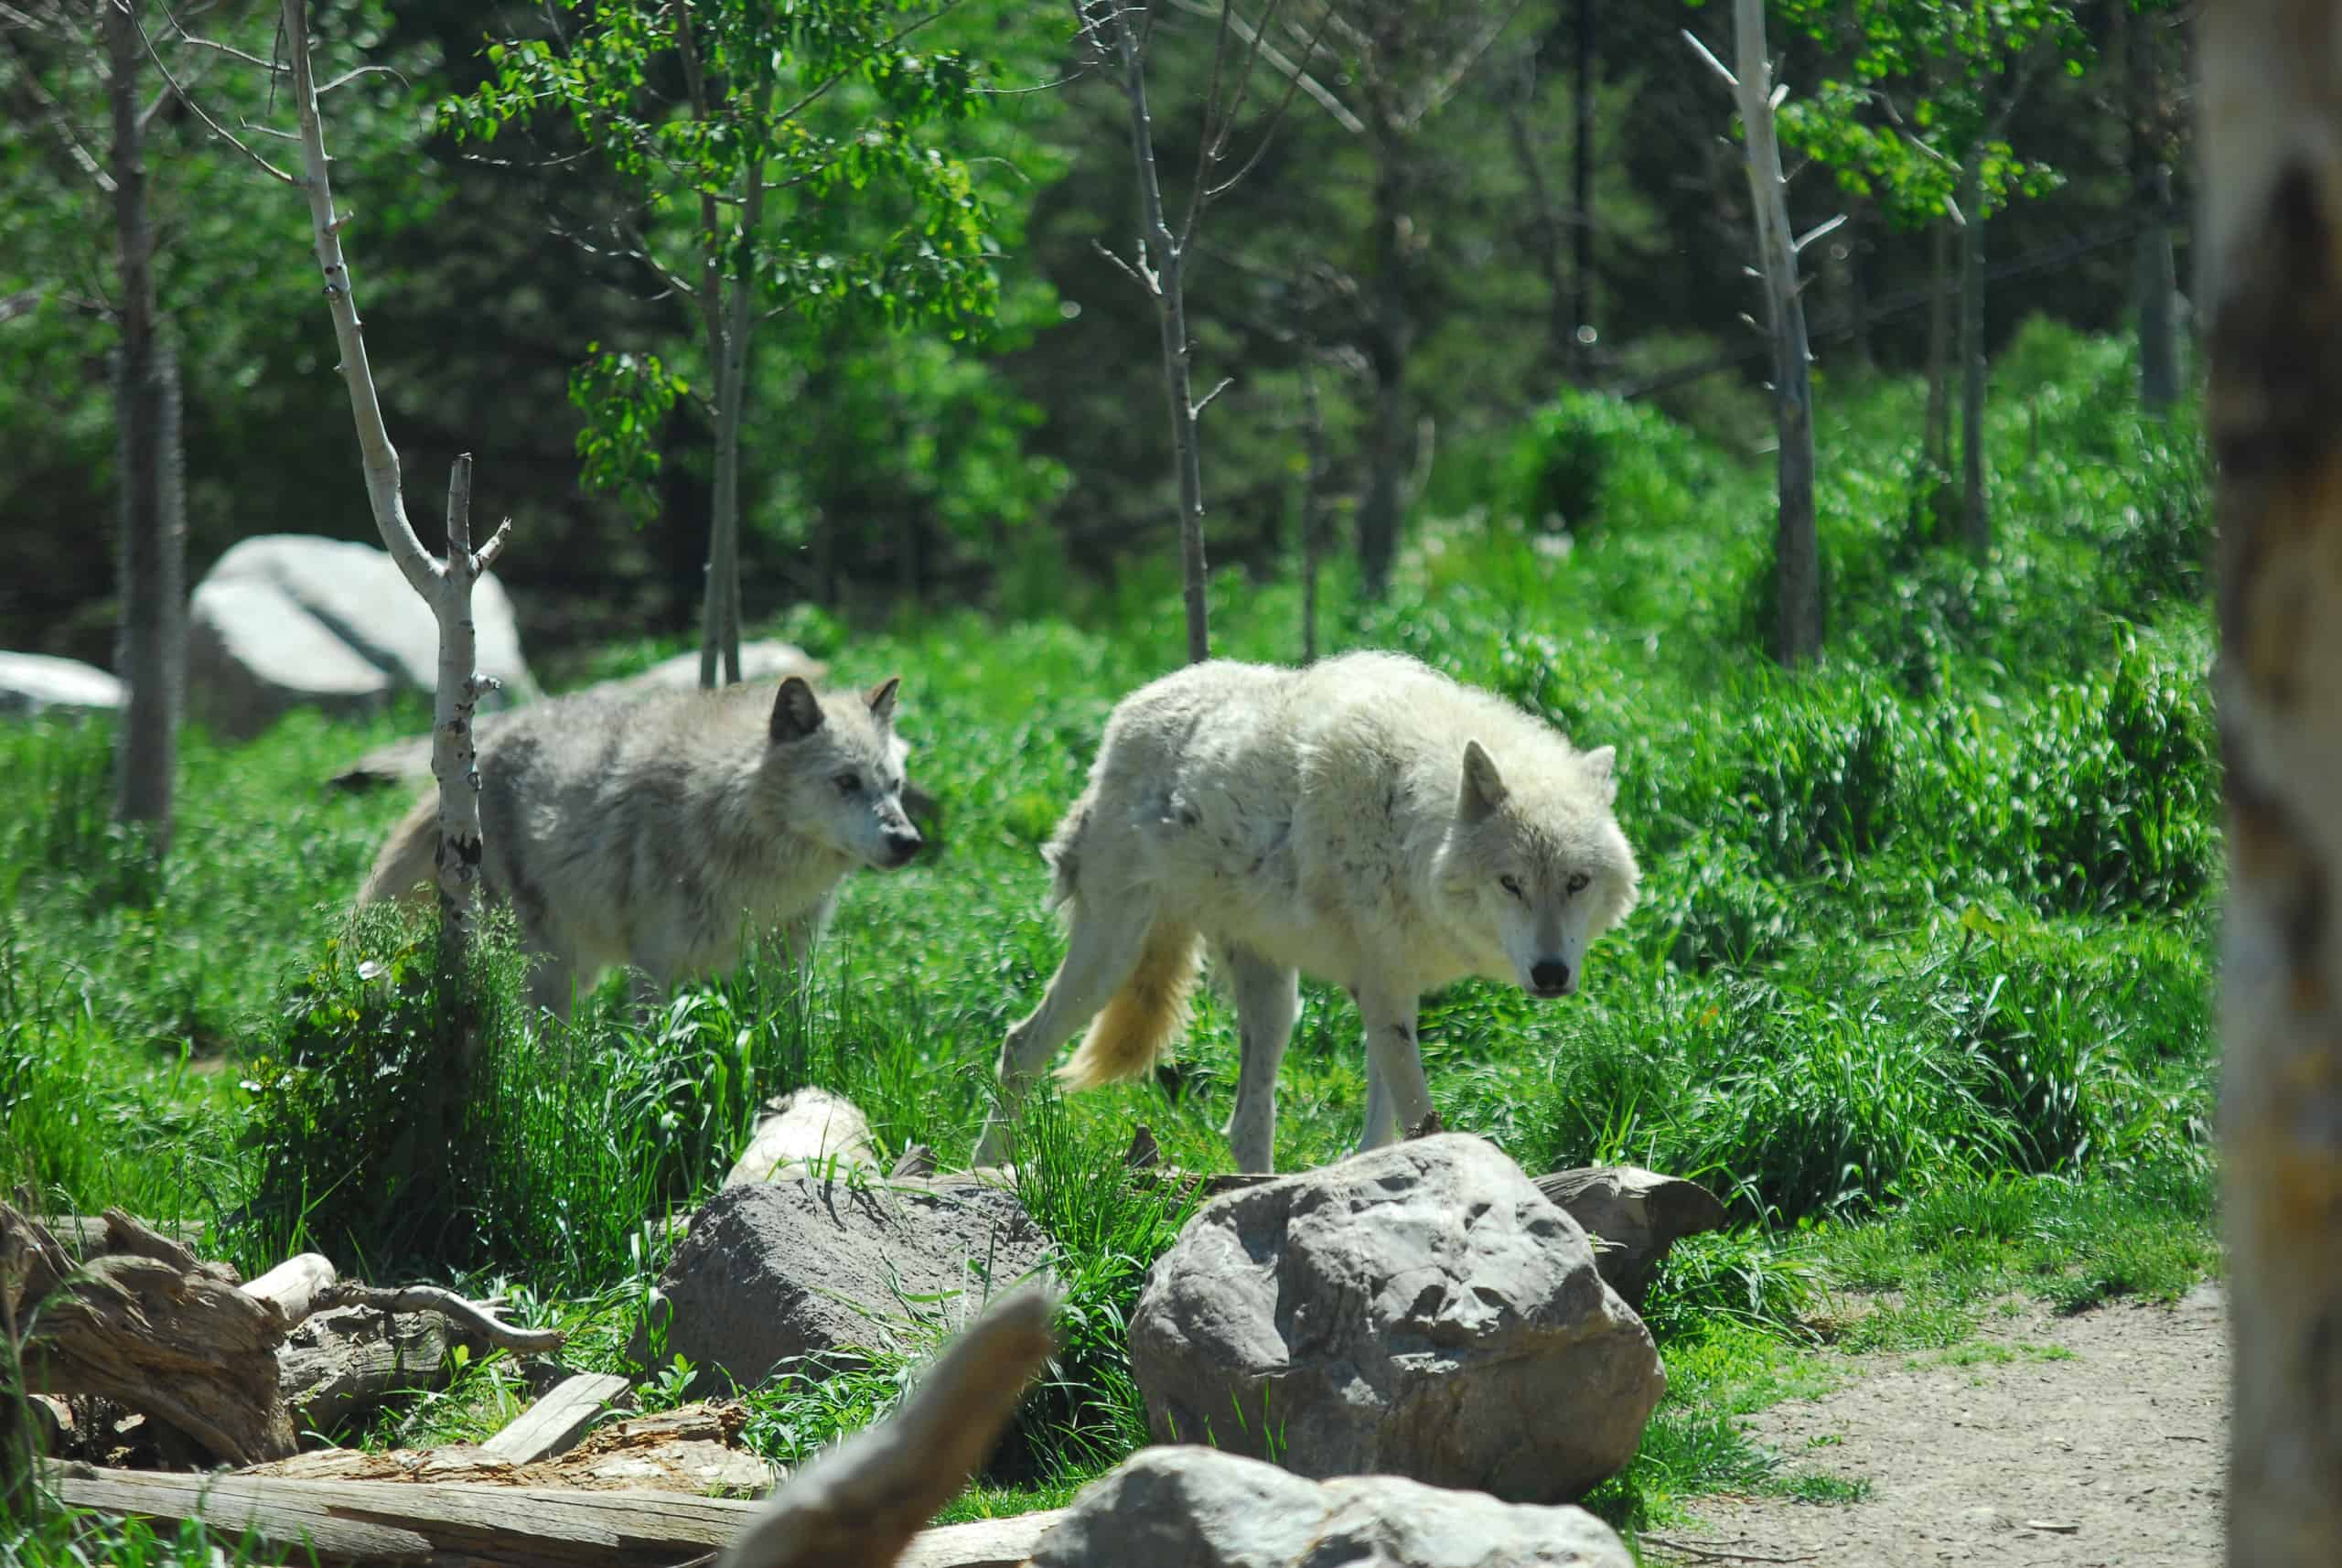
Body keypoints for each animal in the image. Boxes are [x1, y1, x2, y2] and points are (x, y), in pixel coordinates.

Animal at [360, 673, 918, 1020]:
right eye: (846, 782)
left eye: (894, 785)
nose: (909, 842)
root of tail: (478, 754)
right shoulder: (656, 966)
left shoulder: (790, 958)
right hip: (549, 969)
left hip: (579, 969)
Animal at [960, 650, 1639, 1179]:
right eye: (1510, 883)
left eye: (1576, 882)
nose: (1551, 975)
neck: (1410, 825)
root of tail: (1128, 711)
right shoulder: (1384, 991)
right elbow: (1419, 1120)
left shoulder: (1390, 990)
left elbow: (1381, 1129)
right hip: (1111, 953)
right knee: (1020, 1044)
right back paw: (987, 1167)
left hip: (1273, 998)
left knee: (1246, 1121)